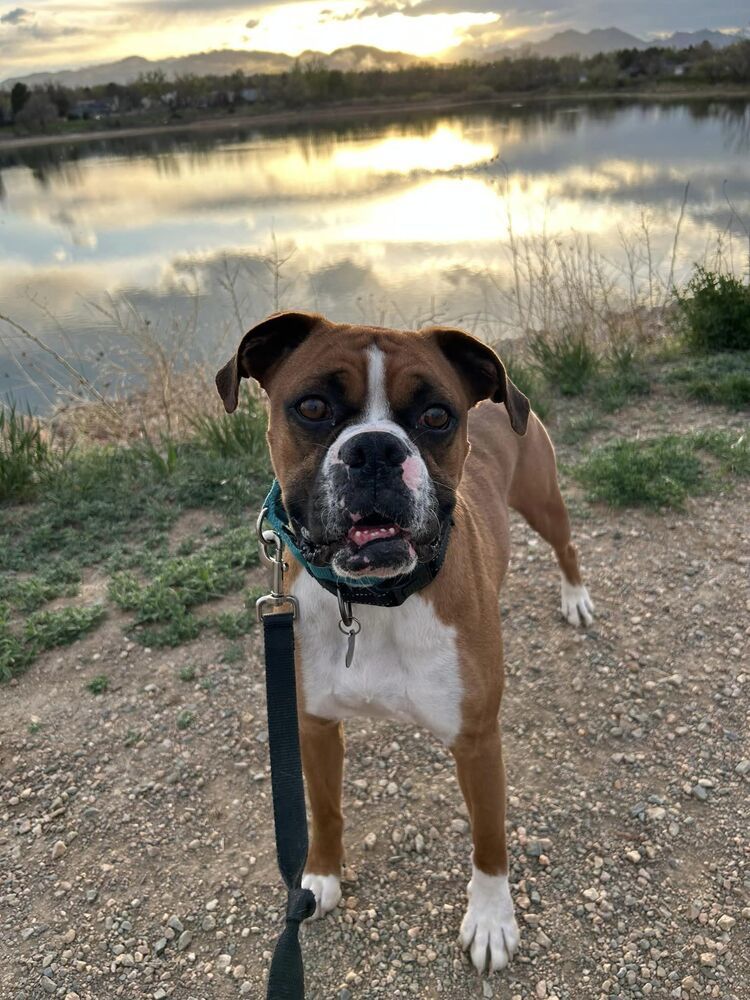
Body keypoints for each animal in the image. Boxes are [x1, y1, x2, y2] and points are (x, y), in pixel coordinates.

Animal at [216, 308, 592, 972]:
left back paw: (575, 596)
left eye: (437, 416)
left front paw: (491, 920)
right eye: (312, 406)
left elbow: (489, 838)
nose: (374, 450)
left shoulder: (476, 741)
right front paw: (319, 877)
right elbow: (325, 809)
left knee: (566, 546)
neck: (373, 601)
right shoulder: (313, 725)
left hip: (544, 503)